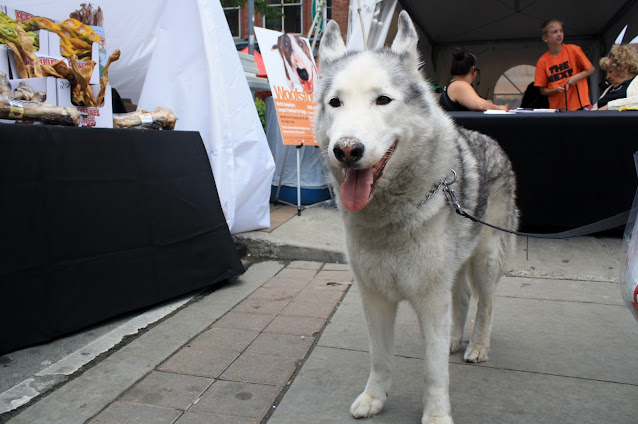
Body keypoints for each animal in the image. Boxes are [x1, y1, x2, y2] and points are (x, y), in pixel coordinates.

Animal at [316, 10, 520, 424]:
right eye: (335, 102)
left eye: (382, 100)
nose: (346, 150)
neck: (389, 219)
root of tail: (489, 140)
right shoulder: (375, 297)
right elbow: (380, 358)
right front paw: (374, 398)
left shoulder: (429, 301)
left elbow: (434, 370)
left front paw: (437, 415)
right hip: (454, 271)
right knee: (462, 299)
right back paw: (456, 339)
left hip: (486, 260)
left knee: (486, 305)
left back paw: (477, 345)